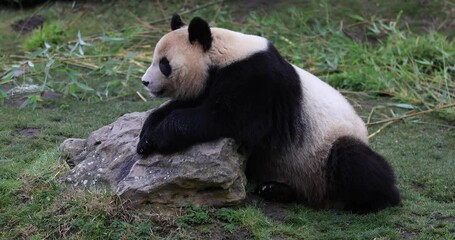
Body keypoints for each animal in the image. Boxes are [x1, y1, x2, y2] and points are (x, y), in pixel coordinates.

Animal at [137, 14, 400, 214]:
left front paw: (158, 138)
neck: (223, 53)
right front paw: (145, 136)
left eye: (164, 64)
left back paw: (378, 200)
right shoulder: (209, 84)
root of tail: (318, 193)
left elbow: (227, 118)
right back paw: (275, 190)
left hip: (325, 151)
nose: (145, 82)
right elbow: (181, 106)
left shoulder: (257, 81)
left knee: (351, 158)